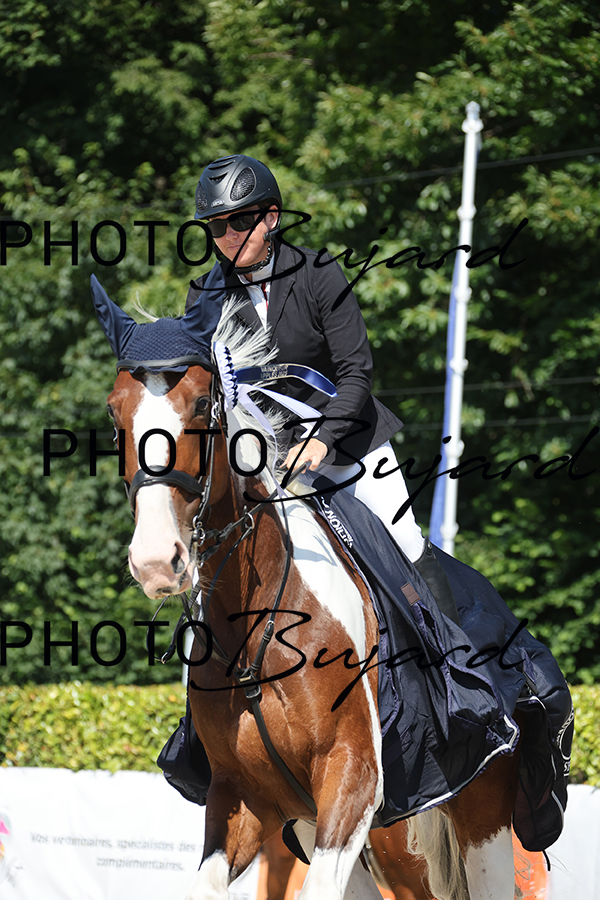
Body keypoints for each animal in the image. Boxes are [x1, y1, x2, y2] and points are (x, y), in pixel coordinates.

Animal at [94, 276, 527, 900]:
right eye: (115, 412)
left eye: (201, 404)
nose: (157, 560)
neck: (254, 627)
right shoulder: (247, 800)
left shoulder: (352, 778)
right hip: (385, 847)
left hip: (478, 820)